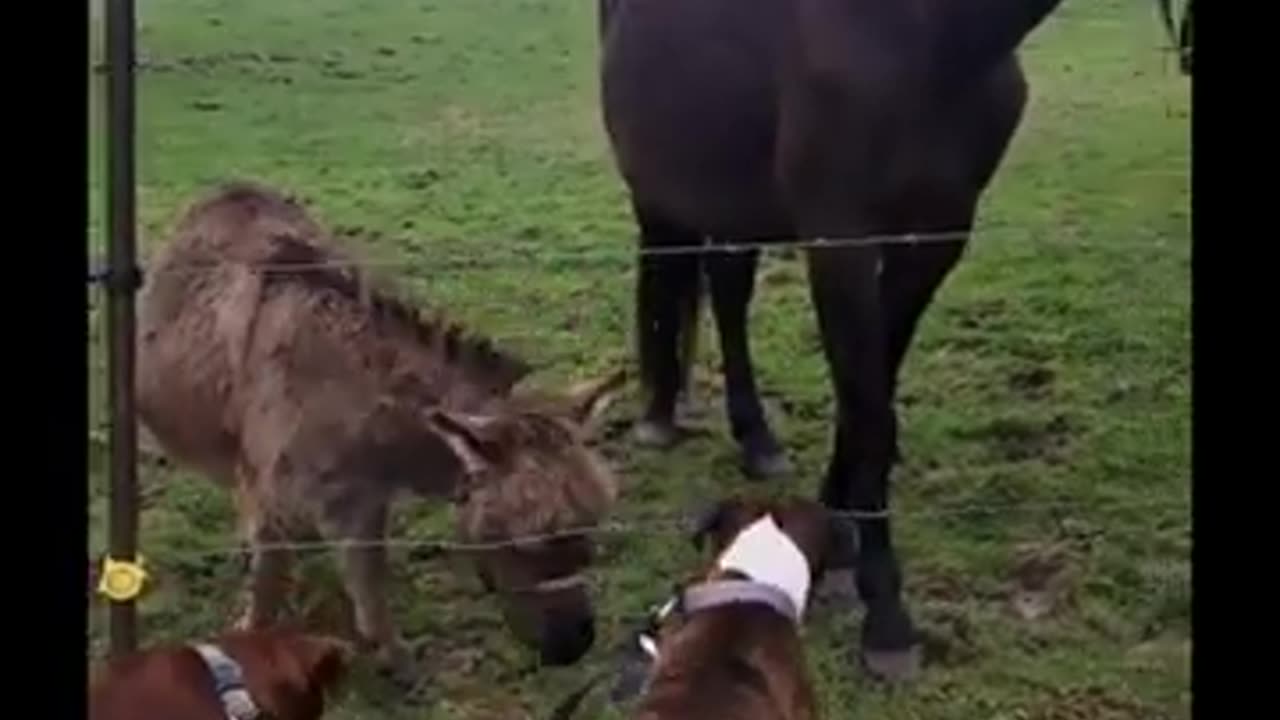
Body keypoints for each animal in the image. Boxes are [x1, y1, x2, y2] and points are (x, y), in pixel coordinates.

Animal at [599, 0, 1070, 676]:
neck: (932, 36)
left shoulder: (937, 235)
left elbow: (871, 389)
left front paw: (839, 533)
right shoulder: (840, 240)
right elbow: (870, 411)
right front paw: (888, 618)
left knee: (729, 290)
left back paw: (756, 438)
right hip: (663, 182)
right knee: (670, 268)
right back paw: (660, 416)